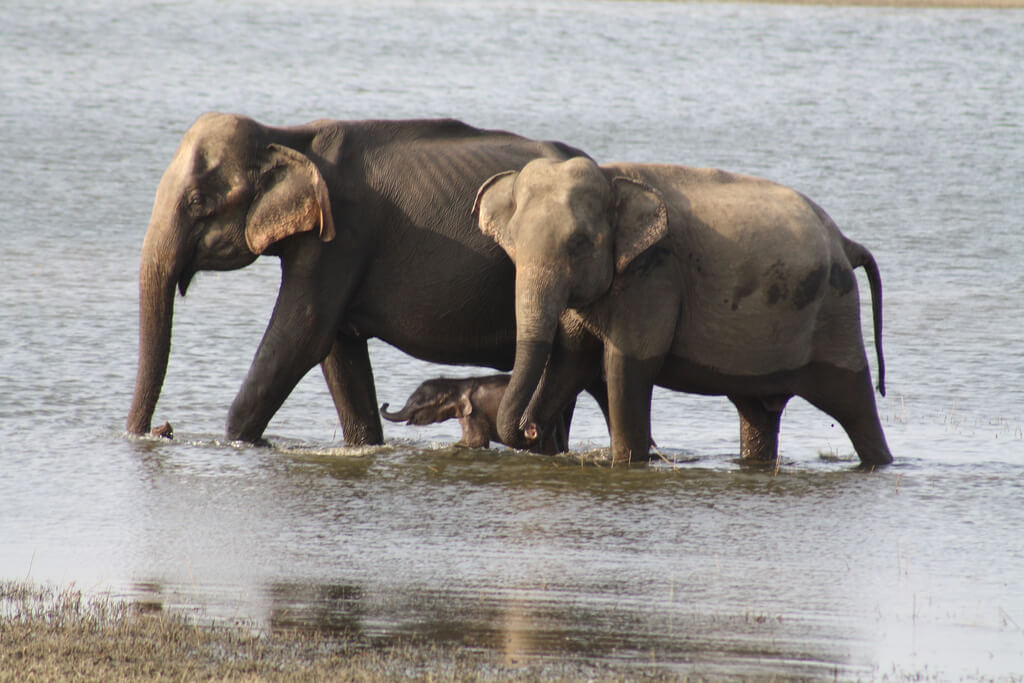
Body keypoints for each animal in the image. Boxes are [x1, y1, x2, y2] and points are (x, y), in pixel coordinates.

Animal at [125, 113, 593, 444]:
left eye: (197, 202)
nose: (163, 429)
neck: (286, 137)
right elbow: (338, 353)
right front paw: (365, 445)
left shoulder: (341, 237)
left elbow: (301, 338)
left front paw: (236, 439)